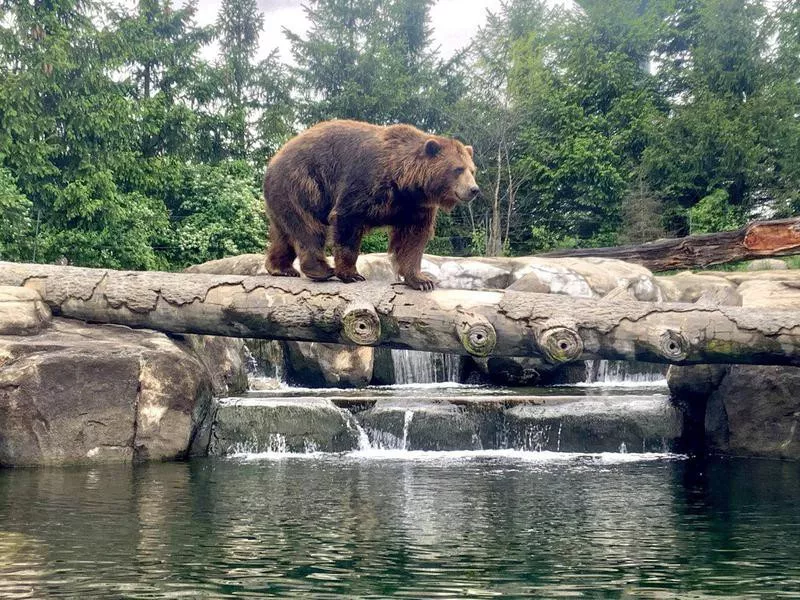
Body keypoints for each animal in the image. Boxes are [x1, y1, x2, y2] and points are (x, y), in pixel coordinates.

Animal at [262, 118, 478, 290]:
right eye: (458, 169)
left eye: (472, 170)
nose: (474, 189)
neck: (403, 182)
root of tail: (273, 161)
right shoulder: (365, 183)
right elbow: (347, 222)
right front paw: (351, 274)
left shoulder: (416, 206)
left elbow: (413, 239)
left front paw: (421, 280)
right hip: (302, 183)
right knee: (309, 227)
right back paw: (320, 269)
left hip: (281, 198)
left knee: (283, 234)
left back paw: (281, 268)